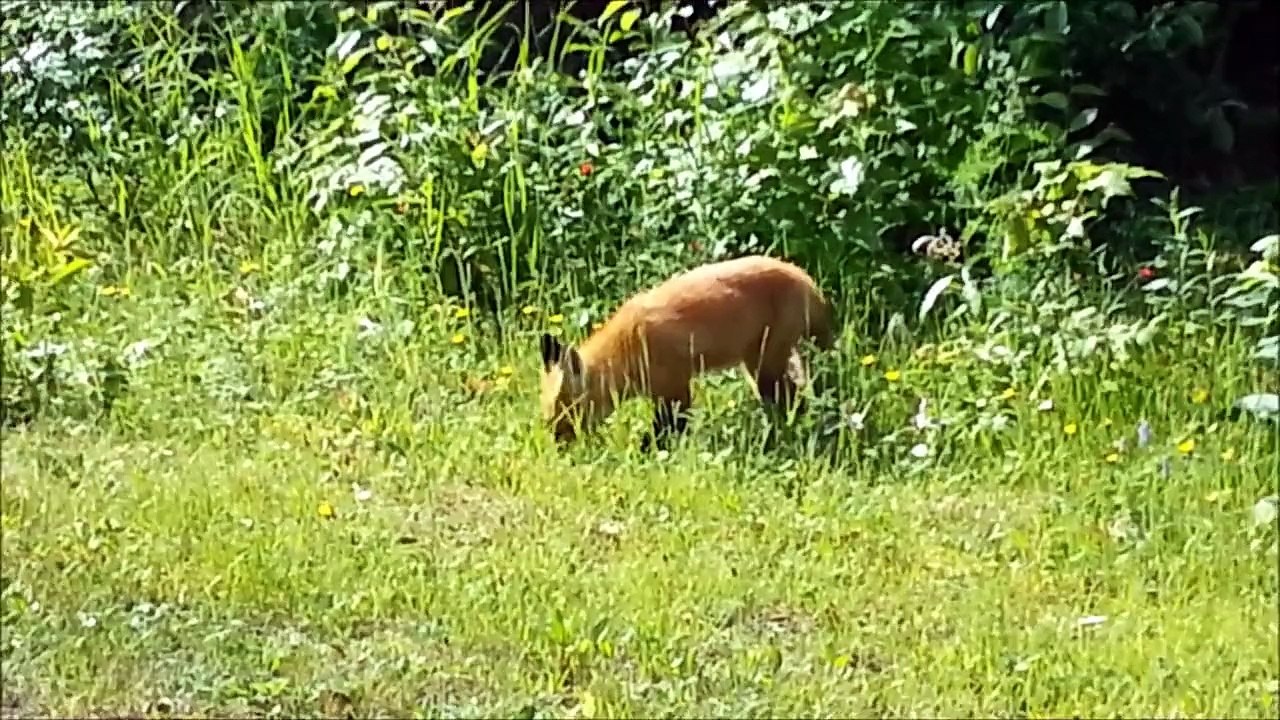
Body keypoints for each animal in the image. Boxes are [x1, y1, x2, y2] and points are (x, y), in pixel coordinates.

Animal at [538, 255, 836, 450]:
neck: (629, 345)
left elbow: (667, 429)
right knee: (794, 396)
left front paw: (648, 451)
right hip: (756, 364)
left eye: (564, 411)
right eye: (548, 411)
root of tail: (805, 277)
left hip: (766, 364)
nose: (555, 445)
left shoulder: (675, 389)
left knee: (790, 397)